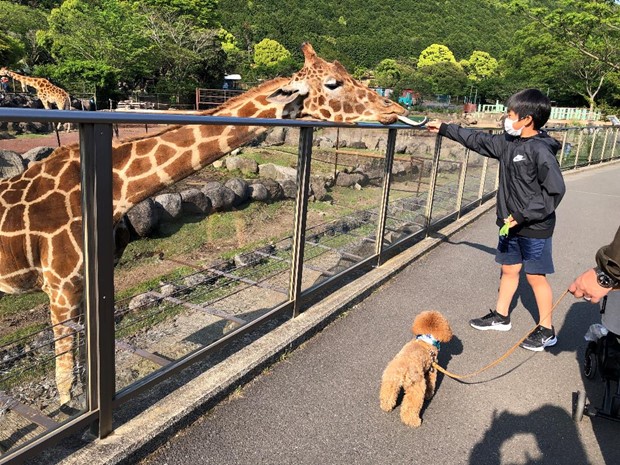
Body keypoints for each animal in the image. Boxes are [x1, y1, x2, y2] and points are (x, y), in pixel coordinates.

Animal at [0, 43, 422, 406]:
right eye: (333, 83)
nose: (391, 109)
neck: (118, 190)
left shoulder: (85, 281)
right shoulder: (60, 283)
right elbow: (65, 361)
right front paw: (70, 407)